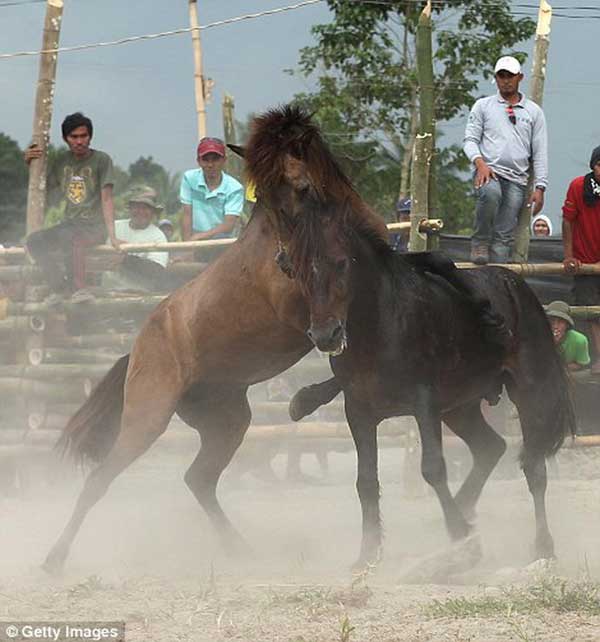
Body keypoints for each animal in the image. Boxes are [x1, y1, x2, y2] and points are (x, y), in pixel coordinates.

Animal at [42, 104, 390, 568]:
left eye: (302, 188)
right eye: (265, 200)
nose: (284, 262)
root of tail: (136, 349)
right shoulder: (304, 317)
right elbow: (335, 346)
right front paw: (304, 399)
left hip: (227, 419)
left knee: (199, 478)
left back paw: (242, 549)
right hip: (146, 419)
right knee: (101, 477)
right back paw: (54, 558)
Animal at [288, 210, 576, 564]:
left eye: (341, 263)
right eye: (299, 269)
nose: (325, 334)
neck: (380, 326)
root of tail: (517, 285)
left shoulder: (423, 402)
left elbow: (433, 468)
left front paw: (460, 536)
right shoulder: (358, 412)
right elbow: (366, 480)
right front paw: (368, 553)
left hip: (530, 391)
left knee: (533, 466)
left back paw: (542, 545)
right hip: (459, 407)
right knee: (490, 447)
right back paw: (465, 507)